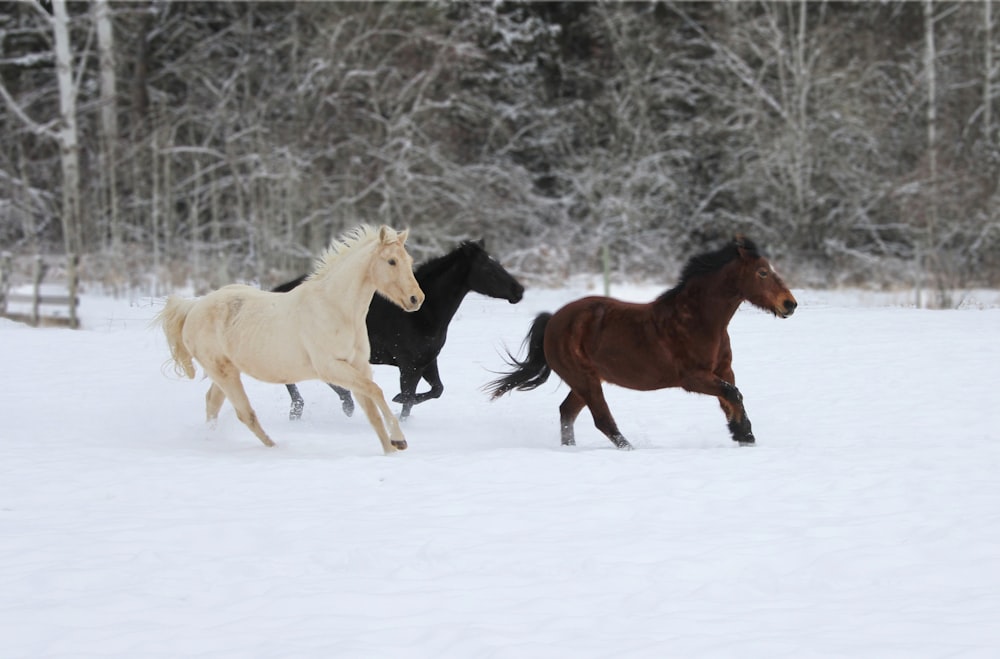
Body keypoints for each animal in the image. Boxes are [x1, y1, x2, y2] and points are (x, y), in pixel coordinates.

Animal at [154, 226, 424, 454]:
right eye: (391, 261)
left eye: (409, 261)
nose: (416, 299)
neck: (335, 309)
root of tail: (194, 307)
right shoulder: (331, 368)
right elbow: (376, 391)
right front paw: (399, 440)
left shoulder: (359, 366)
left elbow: (372, 410)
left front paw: (392, 449)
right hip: (224, 373)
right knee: (245, 413)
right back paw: (275, 448)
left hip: (226, 371)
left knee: (212, 403)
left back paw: (211, 439)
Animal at [272, 240, 524, 420]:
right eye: (488, 268)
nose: (519, 291)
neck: (423, 313)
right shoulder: (408, 365)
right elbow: (409, 398)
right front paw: (398, 405)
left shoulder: (427, 362)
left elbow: (436, 390)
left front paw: (397, 402)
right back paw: (304, 409)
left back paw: (342, 404)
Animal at [484, 236, 796, 448]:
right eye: (762, 273)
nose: (790, 304)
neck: (700, 321)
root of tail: (553, 321)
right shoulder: (693, 378)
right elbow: (733, 394)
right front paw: (744, 434)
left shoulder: (722, 370)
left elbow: (731, 396)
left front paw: (743, 434)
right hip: (585, 379)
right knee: (602, 420)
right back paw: (630, 448)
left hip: (586, 381)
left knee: (567, 412)